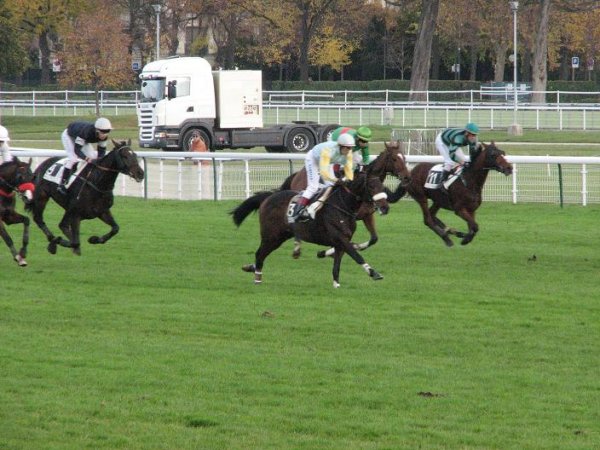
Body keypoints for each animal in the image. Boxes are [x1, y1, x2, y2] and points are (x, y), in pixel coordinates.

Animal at [230, 172, 390, 288]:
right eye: (371, 186)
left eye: (382, 186)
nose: (385, 207)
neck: (342, 206)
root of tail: (269, 197)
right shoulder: (340, 239)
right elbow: (357, 256)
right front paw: (374, 273)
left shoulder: (341, 242)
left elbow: (337, 265)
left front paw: (336, 285)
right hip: (272, 236)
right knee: (260, 254)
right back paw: (257, 278)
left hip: (281, 236)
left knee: (261, 254)